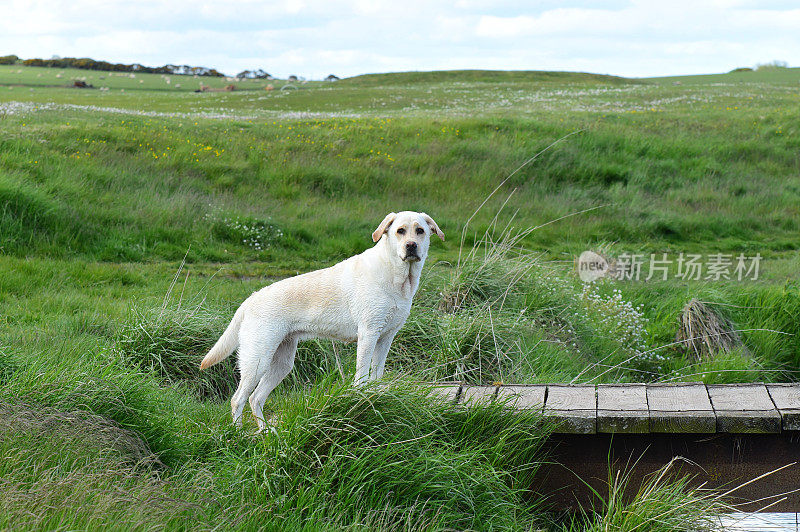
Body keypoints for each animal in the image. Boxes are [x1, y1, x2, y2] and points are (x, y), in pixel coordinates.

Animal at [200, 211, 444, 428]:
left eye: (420, 231)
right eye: (400, 231)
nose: (411, 246)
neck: (396, 275)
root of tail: (250, 299)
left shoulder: (385, 338)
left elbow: (376, 376)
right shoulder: (368, 334)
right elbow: (362, 377)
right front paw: (361, 399)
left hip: (282, 363)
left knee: (255, 398)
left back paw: (267, 432)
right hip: (257, 360)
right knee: (238, 399)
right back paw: (239, 433)